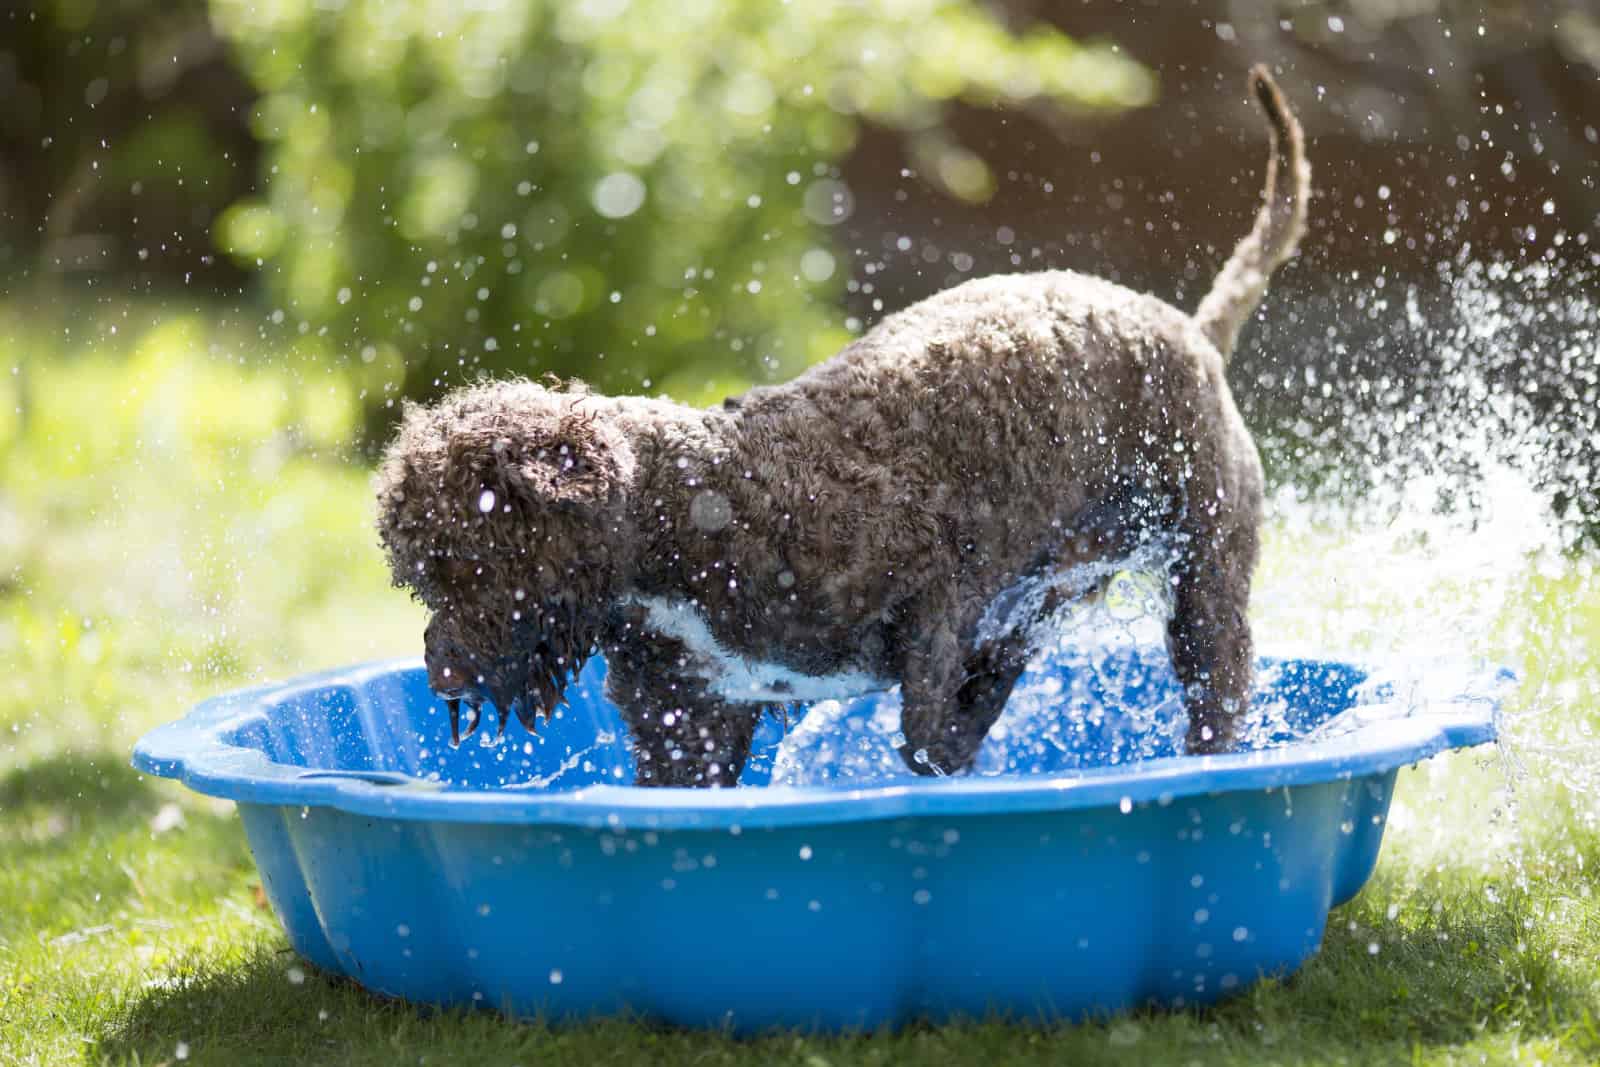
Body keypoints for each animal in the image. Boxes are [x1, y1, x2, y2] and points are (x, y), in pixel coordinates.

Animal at [377, 66, 1312, 783]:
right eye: (418, 577)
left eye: (468, 560)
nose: (440, 670)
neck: (687, 510)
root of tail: (1193, 329)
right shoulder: (688, 723)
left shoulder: (937, 610)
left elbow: (934, 736)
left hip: (1205, 581)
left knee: (1213, 692)